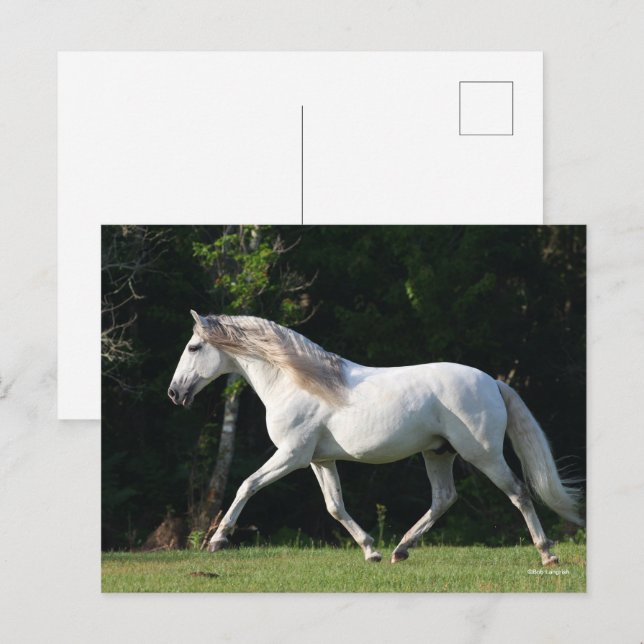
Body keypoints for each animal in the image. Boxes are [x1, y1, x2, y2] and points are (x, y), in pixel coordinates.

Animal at [168, 310, 583, 565]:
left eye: (193, 347)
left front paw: (218, 541)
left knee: (519, 493)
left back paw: (548, 554)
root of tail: (494, 382)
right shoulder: (320, 460)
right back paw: (399, 550)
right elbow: (335, 507)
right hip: (438, 453)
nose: (175, 393)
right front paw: (371, 551)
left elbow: (247, 485)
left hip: (483, 455)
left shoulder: (291, 455)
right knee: (444, 498)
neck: (295, 381)